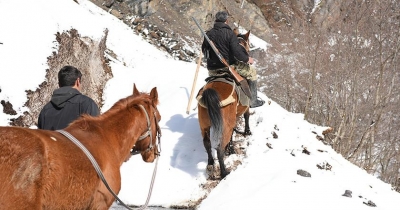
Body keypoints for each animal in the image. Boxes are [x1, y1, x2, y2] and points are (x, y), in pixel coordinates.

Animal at [198, 30, 252, 180]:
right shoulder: (244, 108)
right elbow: (246, 117)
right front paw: (247, 132)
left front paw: (231, 147)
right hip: (224, 125)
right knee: (219, 148)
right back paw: (224, 172)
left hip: (204, 125)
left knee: (207, 144)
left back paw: (211, 163)